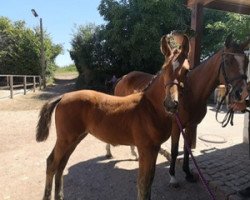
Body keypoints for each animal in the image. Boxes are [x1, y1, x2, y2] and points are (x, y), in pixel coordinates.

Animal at [112, 34, 250, 186]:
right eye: (227, 61)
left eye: (247, 62)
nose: (242, 93)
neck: (191, 94)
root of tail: (124, 77)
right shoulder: (175, 126)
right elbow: (174, 150)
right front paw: (173, 176)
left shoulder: (191, 126)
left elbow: (187, 149)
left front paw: (188, 173)